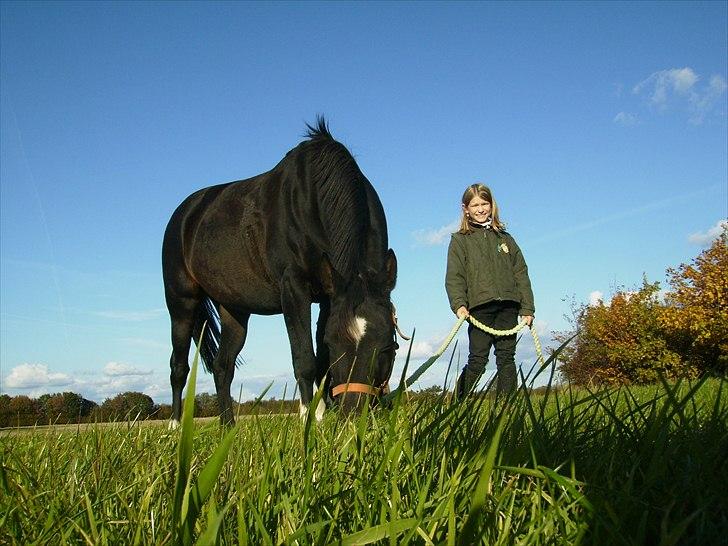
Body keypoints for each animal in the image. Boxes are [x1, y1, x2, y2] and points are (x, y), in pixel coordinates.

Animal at [161, 118, 398, 424]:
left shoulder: (328, 296)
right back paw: (175, 426)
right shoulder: (294, 288)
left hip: (235, 309)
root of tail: (186, 213)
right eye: (335, 344)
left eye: (387, 346)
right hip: (181, 302)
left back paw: (228, 427)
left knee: (223, 367)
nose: (353, 416)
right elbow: (306, 359)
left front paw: (323, 418)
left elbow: (319, 360)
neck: (314, 201)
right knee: (178, 367)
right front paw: (310, 419)